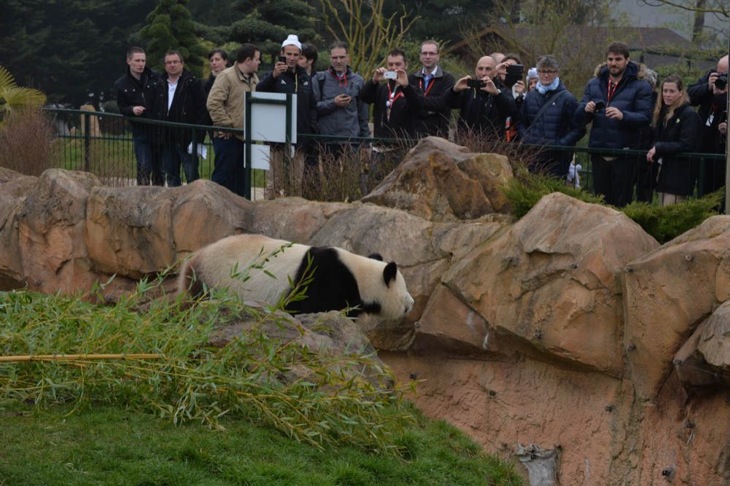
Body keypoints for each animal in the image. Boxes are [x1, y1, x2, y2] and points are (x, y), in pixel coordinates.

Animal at [176, 234, 412, 318]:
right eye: (404, 292)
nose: (412, 303)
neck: (359, 275)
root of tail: (191, 261)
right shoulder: (326, 282)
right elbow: (307, 309)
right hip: (211, 280)